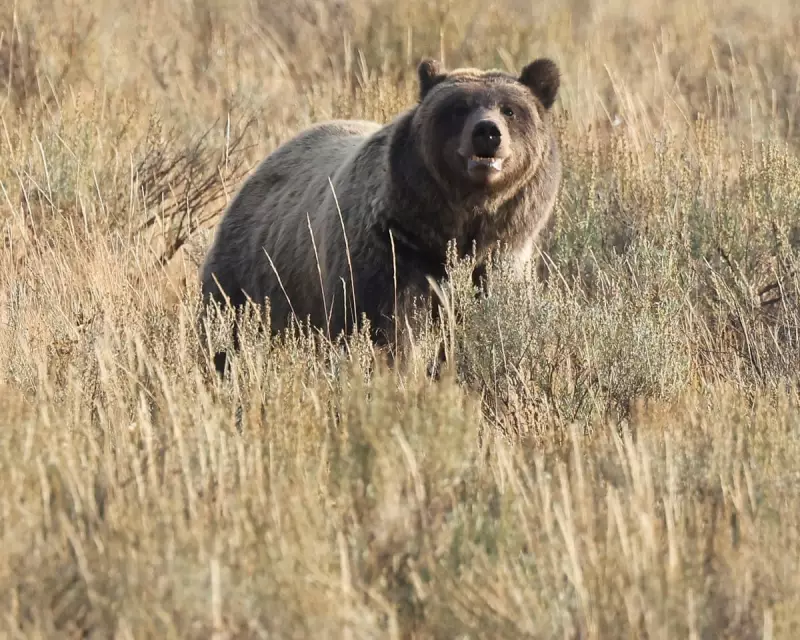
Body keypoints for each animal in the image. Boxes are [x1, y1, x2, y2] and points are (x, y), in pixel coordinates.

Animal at [199, 56, 562, 376]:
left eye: (509, 109)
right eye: (459, 108)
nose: (487, 132)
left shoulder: (497, 260)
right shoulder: (389, 254)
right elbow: (384, 330)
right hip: (249, 278)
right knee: (224, 332)